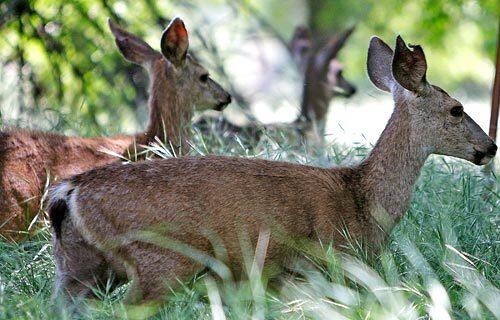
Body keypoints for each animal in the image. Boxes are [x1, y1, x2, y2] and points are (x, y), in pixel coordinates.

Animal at [47, 33, 496, 306]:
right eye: (456, 109)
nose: (490, 147)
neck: (362, 202)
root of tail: (69, 193)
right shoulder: (328, 264)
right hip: (158, 260)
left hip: (78, 268)